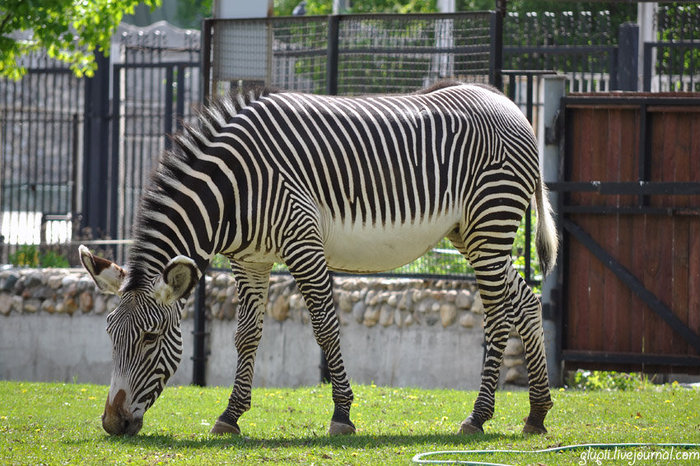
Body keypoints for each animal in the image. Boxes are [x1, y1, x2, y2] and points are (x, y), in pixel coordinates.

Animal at [78, 80, 556, 436]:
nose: (112, 424)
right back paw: (536, 413)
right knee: (526, 302)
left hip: (491, 222)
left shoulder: (303, 243)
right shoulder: (249, 260)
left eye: (150, 338)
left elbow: (326, 328)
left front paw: (342, 415)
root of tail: (511, 105)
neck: (233, 188)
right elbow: (246, 336)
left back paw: (478, 416)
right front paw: (230, 416)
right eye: (109, 334)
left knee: (499, 315)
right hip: (470, 233)